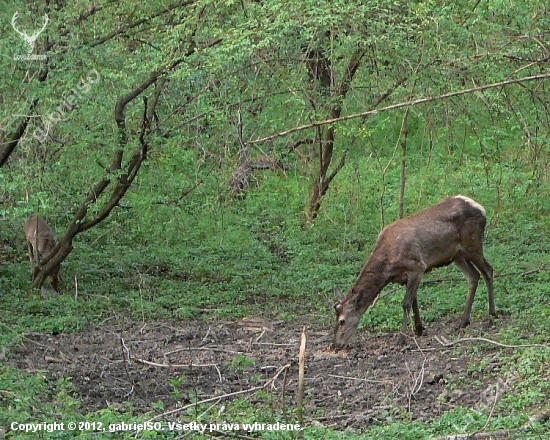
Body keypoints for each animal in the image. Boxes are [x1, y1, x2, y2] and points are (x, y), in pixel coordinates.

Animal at [334, 195, 498, 350]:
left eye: (342, 320)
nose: (335, 345)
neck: (388, 267)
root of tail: (481, 208)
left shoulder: (417, 267)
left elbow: (406, 303)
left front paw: (401, 339)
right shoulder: (407, 276)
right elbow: (414, 300)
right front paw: (419, 329)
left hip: (472, 243)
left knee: (488, 270)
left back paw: (492, 315)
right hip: (457, 254)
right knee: (473, 276)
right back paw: (463, 321)